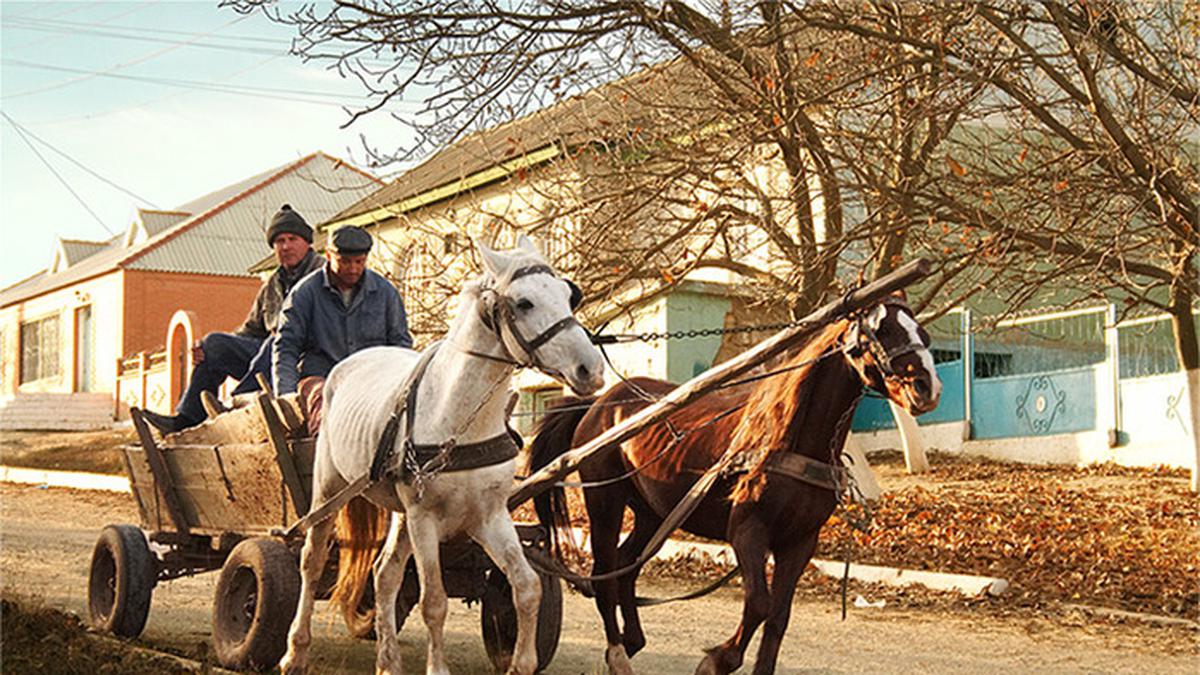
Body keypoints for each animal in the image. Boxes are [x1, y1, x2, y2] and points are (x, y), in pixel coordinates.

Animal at [278, 234, 600, 667]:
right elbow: (435, 601)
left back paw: (388, 662)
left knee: (384, 575)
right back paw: (295, 650)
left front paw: (521, 663)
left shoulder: (489, 516)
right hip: (329, 491)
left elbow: (527, 586)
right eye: (524, 303)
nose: (591, 369)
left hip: (399, 514)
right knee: (311, 562)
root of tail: (351, 361)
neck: (460, 419)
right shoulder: (425, 518)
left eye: (568, 295)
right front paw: (437, 667)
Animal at [532, 296, 936, 672]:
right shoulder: (747, 530)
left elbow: (779, 617)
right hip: (605, 499)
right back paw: (617, 652)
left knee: (626, 565)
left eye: (922, 332)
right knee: (604, 574)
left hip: (652, 513)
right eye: (881, 330)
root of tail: (599, 403)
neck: (789, 440)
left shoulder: (800, 542)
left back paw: (632, 640)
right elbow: (759, 603)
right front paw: (719, 659)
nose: (927, 388)